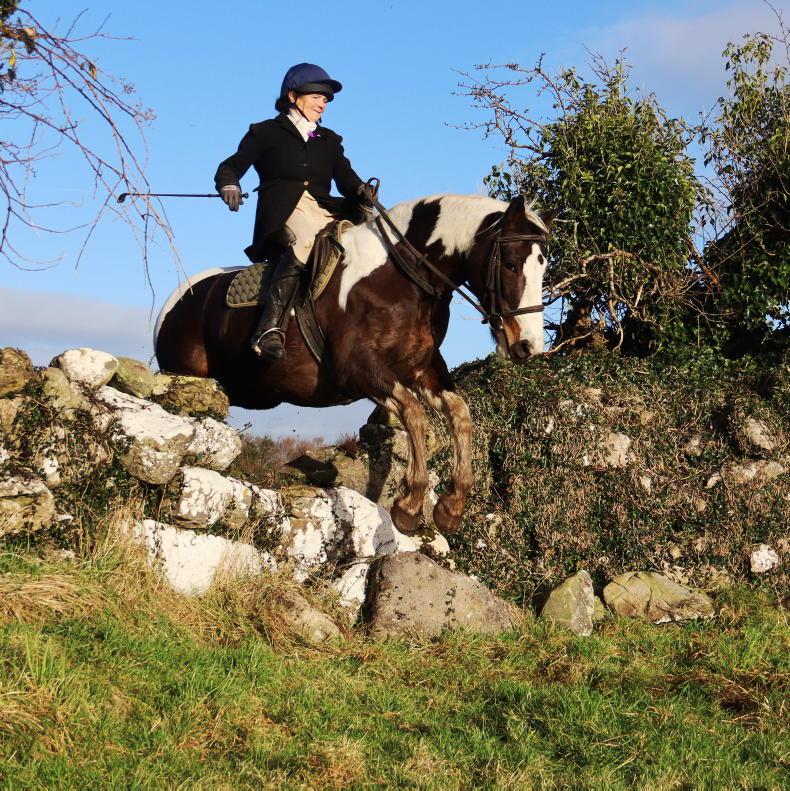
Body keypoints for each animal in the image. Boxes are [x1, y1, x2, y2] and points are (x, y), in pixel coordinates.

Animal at [154, 193, 555, 535]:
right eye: (511, 264)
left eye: (542, 267)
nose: (528, 346)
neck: (402, 279)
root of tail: (177, 298)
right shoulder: (359, 369)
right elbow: (414, 414)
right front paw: (409, 505)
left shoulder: (421, 367)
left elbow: (459, 414)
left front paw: (451, 508)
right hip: (187, 374)